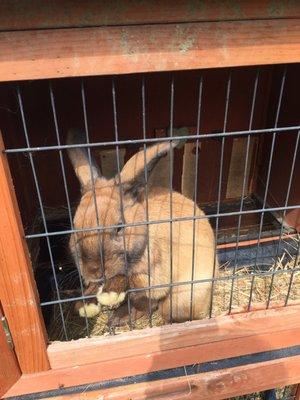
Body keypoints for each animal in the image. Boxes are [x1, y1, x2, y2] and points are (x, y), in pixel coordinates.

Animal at [68, 130, 218, 326]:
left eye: (119, 227)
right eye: (74, 226)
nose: (93, 271)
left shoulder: (152, 274)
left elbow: (128, 278)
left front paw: (110, 293)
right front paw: (85, 303)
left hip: (179, 299)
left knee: (157, 306)